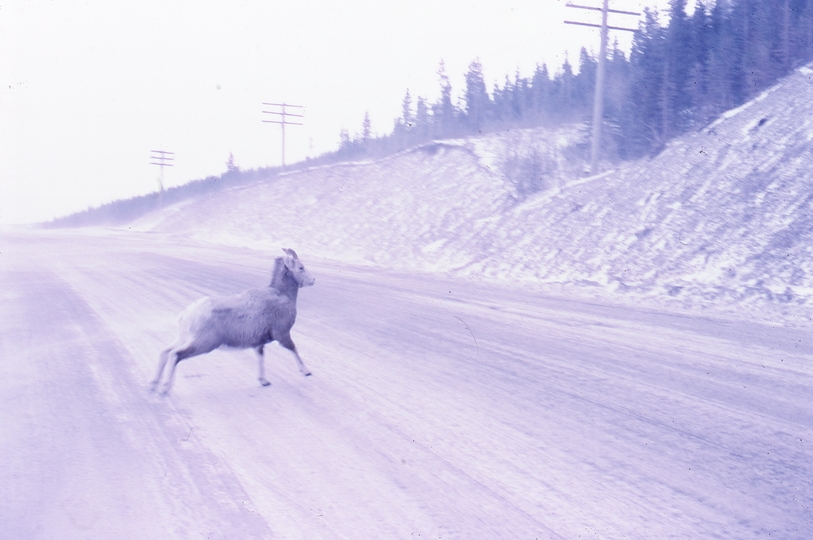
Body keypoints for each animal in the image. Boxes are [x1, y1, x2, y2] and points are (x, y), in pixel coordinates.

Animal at [151, 249, 316, 396]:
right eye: (301, 267)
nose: (313, 280)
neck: (282, 294)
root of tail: (187, 315)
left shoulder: (258, 343)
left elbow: (261, 358)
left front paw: (264, 381)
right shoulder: (282, 334)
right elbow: (293, 350)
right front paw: (306, 372)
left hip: (185, 339)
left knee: (165, 352)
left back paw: (154, 386)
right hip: (203, 344)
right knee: (175, 355)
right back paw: (165, 389)